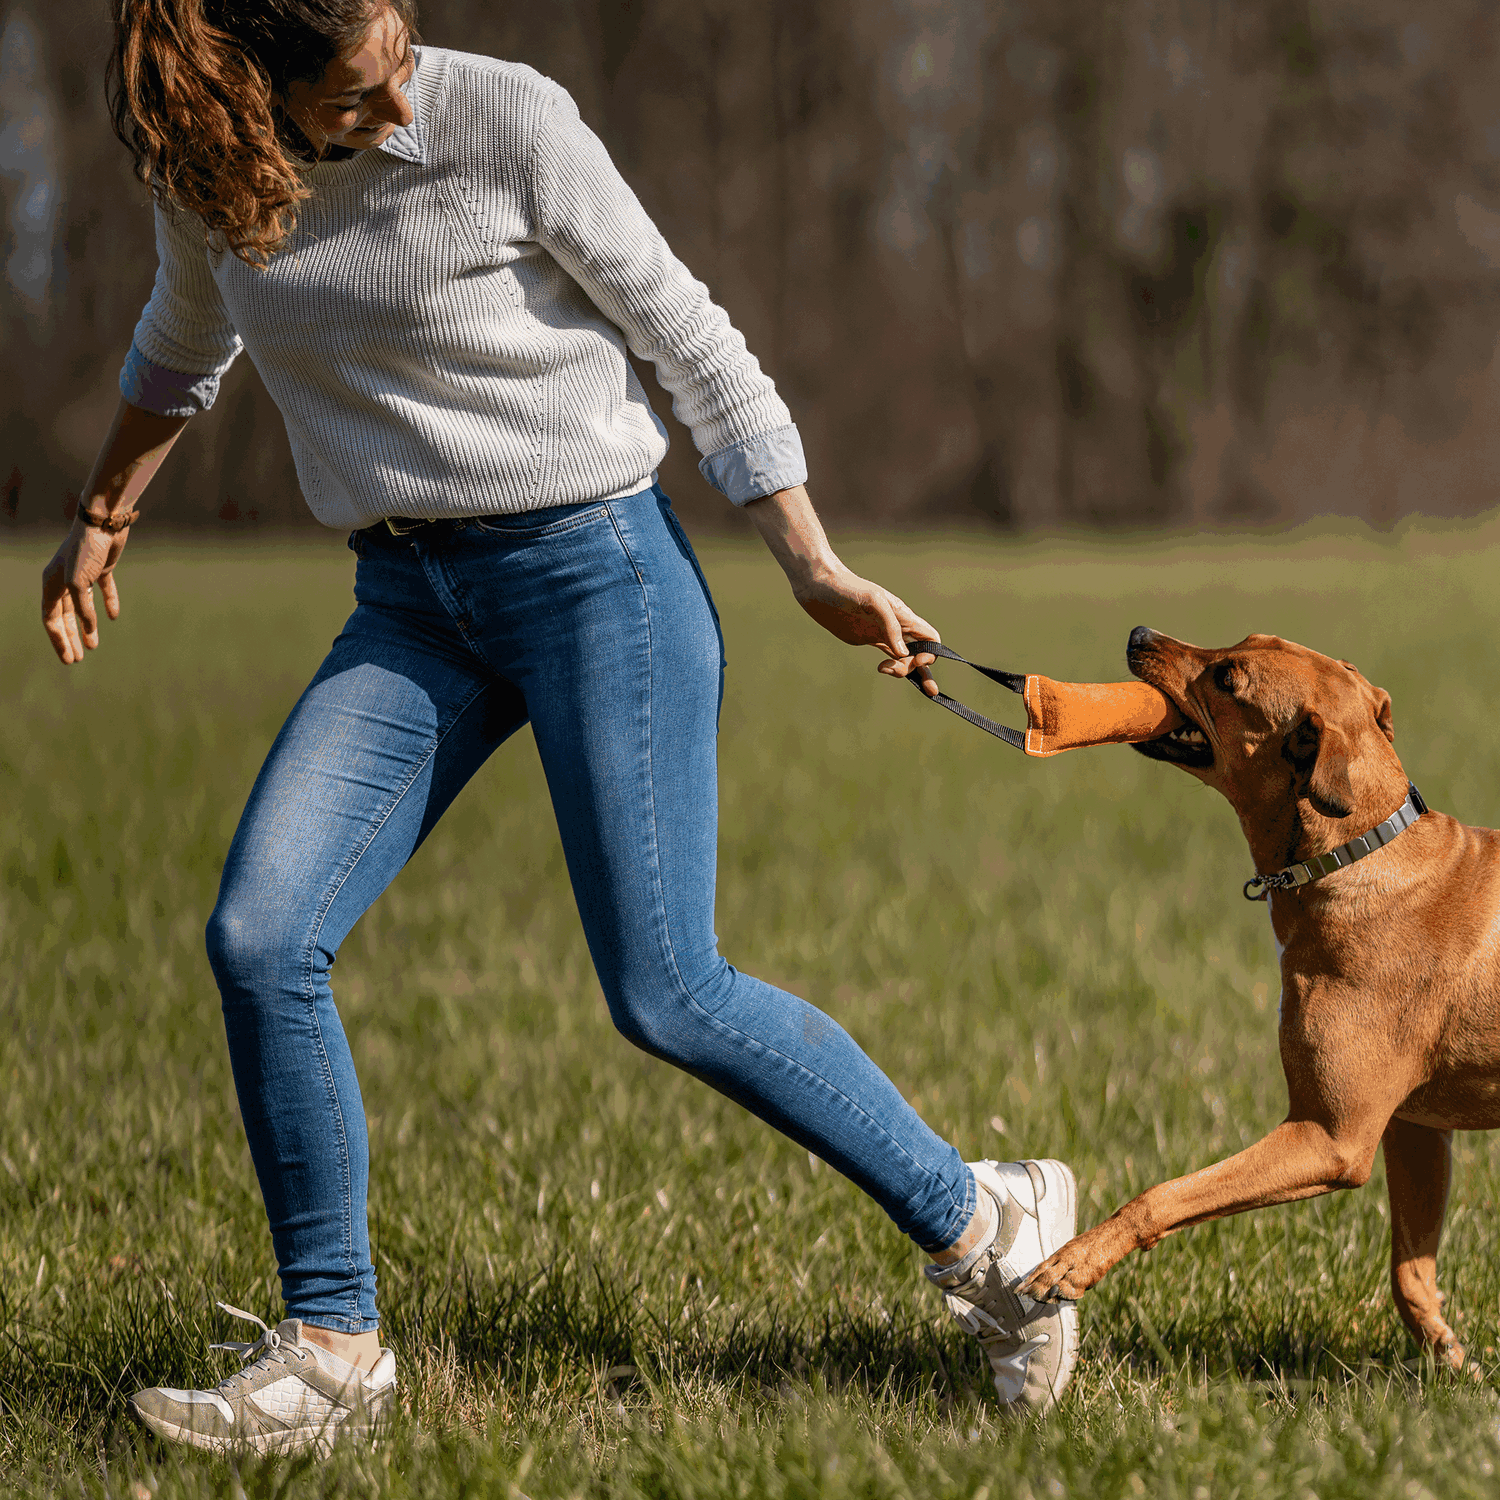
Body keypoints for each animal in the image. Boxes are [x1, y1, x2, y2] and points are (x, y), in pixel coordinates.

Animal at [1014, 624, 1494, 1374]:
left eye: (1228, 678)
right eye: (1247, 638)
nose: (1140, 633)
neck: (1354, 853)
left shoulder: (1330, 1137)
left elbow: (1160, 1195)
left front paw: (1073, 1262)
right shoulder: (1415, 1130)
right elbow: (1409, 1274)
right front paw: (1451, 1361)